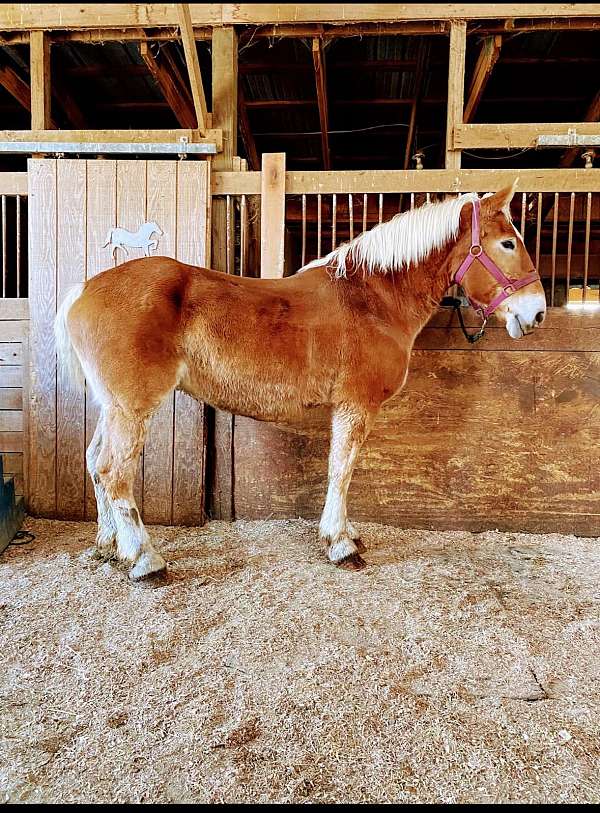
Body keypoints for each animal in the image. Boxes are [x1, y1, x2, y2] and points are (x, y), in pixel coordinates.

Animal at [55, 184, 544, 576]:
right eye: (507, 242)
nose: (536, 311)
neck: (371, 298)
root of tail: (85, 289)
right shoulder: (356, 404)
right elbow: (342, 470)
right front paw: (341, 545)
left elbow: (340, 468)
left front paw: (347, 535)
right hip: (132, 407)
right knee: (113, 472)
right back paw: (144, 559)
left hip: (113, 408)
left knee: (94, 463)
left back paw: (108, 548)